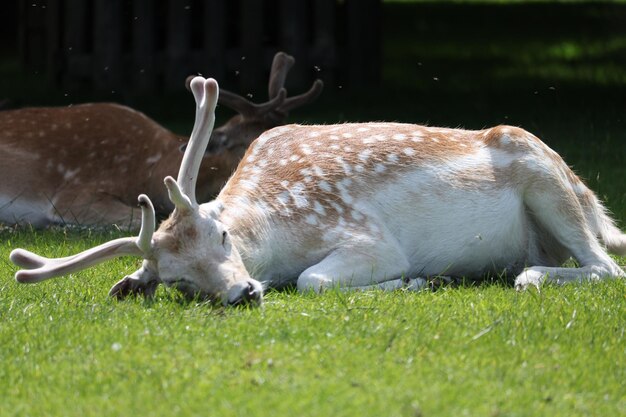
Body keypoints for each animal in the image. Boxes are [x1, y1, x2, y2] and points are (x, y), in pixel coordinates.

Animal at [9, 76, 624, 304]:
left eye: (223, 236)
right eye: (180, 280)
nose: (243, 292)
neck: (278, 235)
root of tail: (593, 202)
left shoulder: (369, 237)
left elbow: (313, 279)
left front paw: (418, 278)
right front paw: (425, 280)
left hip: (548, 182)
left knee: (606, 266)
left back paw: (525, 276)